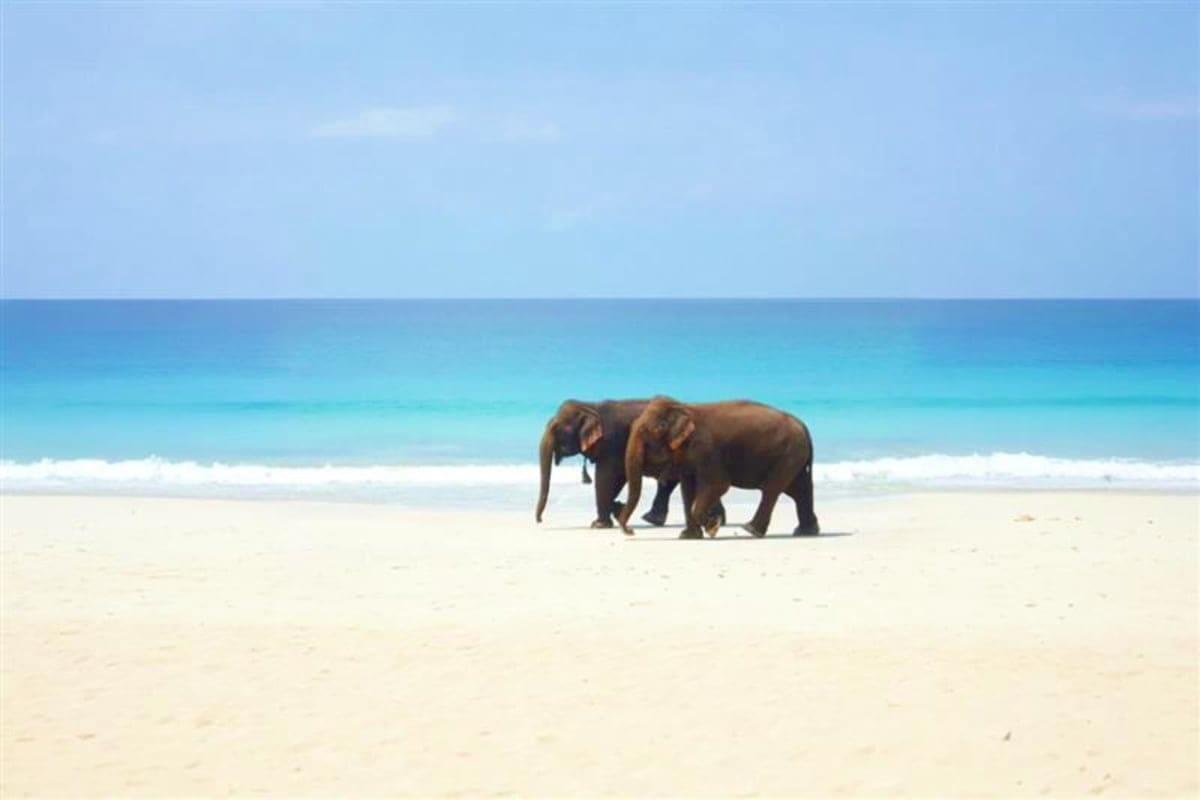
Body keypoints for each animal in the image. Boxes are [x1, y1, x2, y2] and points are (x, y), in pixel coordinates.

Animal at [536, 399, 726, 530]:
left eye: (563, 429)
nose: (539, 520)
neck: (590, 405)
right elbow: (616, 480)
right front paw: (617, 511)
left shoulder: (612, 443)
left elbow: (607, 478)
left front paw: (599, 525)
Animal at [618, 396, 819, 539]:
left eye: (652, 432)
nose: (630, 532)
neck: (685, 408)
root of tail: (803, 425)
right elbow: (687, 490)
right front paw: (688, 536)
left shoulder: (707, 450)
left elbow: (718, 484)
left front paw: (713, 528)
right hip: (793, 456)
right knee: (799, 490)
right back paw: (805, 532)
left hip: (789, 454)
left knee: (772, 489)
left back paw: (750, 530)